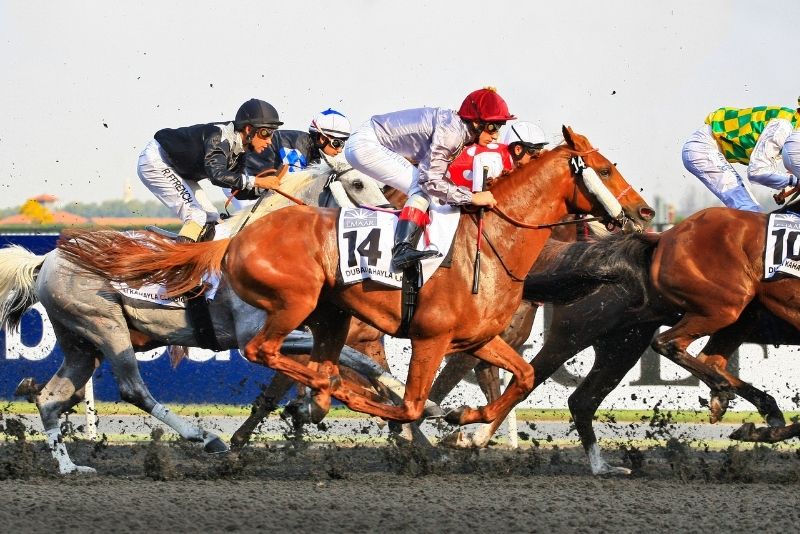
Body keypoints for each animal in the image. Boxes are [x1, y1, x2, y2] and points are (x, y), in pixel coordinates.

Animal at [0, 157, 390, 476]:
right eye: (357, 183)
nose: (388, 219)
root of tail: (46, 259)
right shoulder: (252, 335)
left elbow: (357, 359)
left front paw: (392, 394)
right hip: (106, 327)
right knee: (132, 390)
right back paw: (204, 437)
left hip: (81, 344)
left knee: (51, 398)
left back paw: (69, 467)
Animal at [57, 127, 656, 430]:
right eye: (605, 170)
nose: (645, 212)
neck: (488, 247)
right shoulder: (431, 338)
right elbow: (410, 401)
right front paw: (418, 418)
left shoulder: (476, 338)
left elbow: (525, 377)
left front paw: (464, 417)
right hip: (289, 308)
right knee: (260, 353)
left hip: (328, 315)